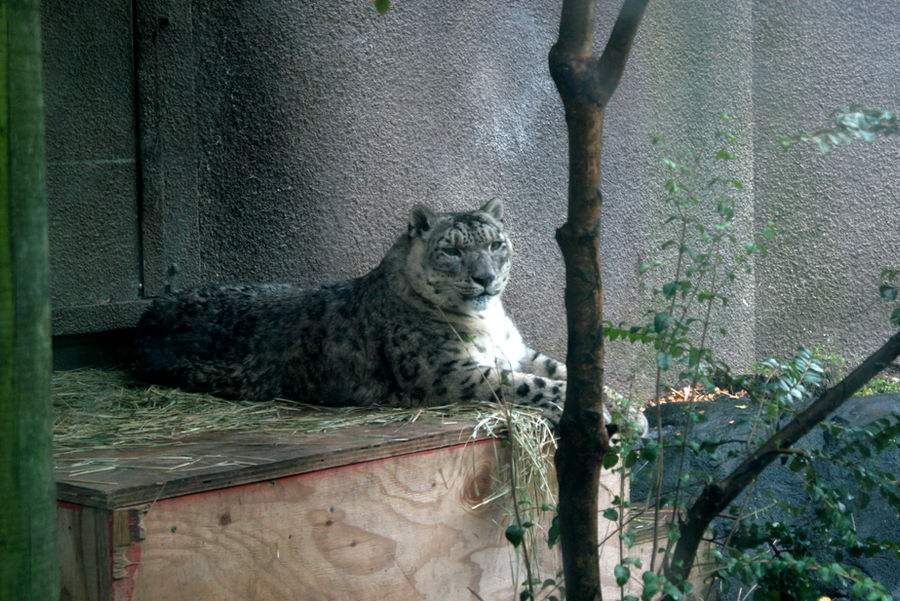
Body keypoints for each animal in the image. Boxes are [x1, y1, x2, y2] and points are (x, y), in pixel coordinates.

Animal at [132, 198, 640, 432]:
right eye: (452, 251)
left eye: (497, 243)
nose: (485, 278)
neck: (488, 321)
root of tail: (150, 313)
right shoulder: (450, 372)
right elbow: (533, 384)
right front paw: (593, 406)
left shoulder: (516, 351)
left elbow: (564, 368)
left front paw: (628, 407)